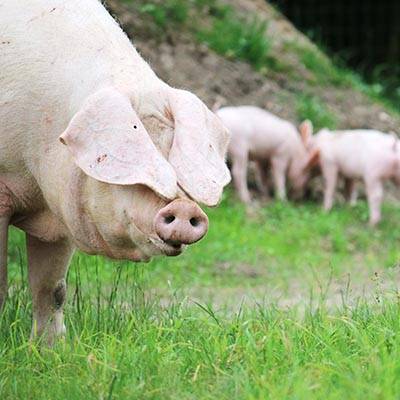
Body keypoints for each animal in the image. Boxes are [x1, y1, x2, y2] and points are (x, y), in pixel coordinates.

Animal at [0, 0, 230, 344]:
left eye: (173, 156)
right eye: (135, 172)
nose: (185, 207)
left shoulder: (57, 208)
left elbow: (52, 289)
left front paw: (50, 350)